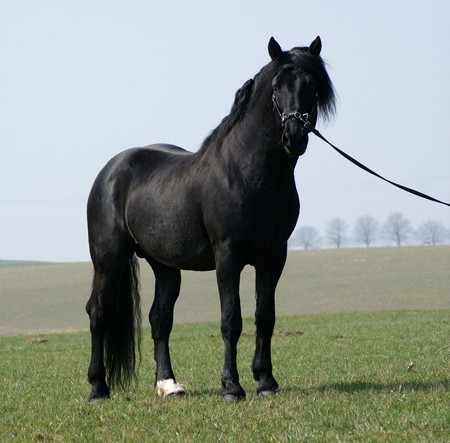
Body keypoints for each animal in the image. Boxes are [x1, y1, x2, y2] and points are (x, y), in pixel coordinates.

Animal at [87, 37, 334, 402]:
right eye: (276, 87)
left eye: (313, 86)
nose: (294, 135)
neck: (248, 173)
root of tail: (111, 170)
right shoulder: (228, 256)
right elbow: (231, 320)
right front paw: (231, 387)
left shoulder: (274, 256)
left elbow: (265, 317)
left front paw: (266, 381)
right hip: (108, 259)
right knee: (98, 313)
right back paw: (98, 388)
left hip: (165, 266)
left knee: (160, 319)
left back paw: (169, 385)